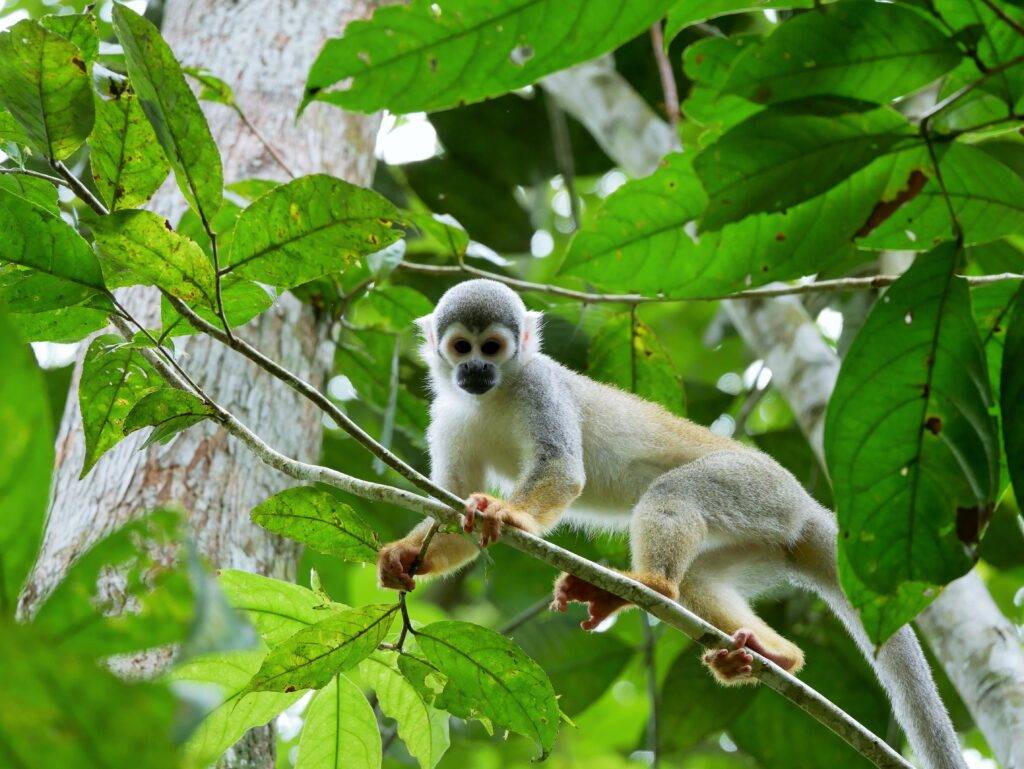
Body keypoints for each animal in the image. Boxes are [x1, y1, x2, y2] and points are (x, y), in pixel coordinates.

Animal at [378, 278, 966, 769]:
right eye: (462, 348)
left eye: (493, 348)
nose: (474, 371)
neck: (496, 395)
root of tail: (809, 507)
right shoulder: (448, 415)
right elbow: (451, 508)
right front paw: (408, 557)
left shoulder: (541, 386)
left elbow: (563, 470)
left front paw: (508, 513)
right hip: (764, 539)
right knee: (702, 578)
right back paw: (775, 653)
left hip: (757, 490)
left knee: (674, 494)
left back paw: (649, 586)